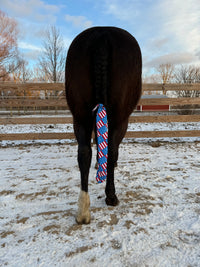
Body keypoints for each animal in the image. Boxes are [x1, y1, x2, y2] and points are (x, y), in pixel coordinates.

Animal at [65, 26, 141, 224]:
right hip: (119, 119)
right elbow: (109, 149)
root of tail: (102, 34)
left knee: (84, 153)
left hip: (80, 116)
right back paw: (111, 196)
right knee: (112, 150)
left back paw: (83, 210)